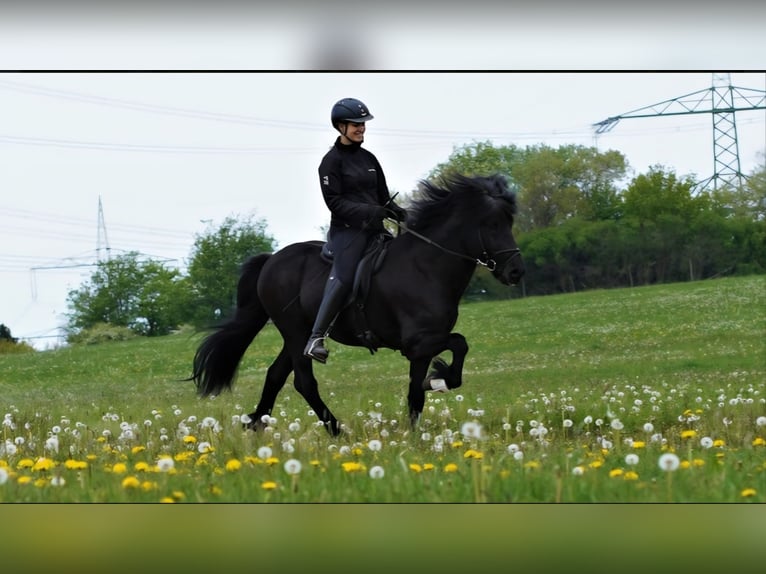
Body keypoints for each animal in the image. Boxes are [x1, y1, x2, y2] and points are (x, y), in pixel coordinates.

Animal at [190, 173, 525, 436]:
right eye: (492, 224)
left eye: (510, 221)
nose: (516, 272)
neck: (425, 267)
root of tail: (272, 260)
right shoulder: (419, 342)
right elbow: (458, 345)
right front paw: (438, 379)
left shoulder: (421, 349)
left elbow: (416, 394)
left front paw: (417, 428)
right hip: (296, 333)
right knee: (303, 382)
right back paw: (336, 431)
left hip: (296, 336)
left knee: (275, 375)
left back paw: (256, 424)